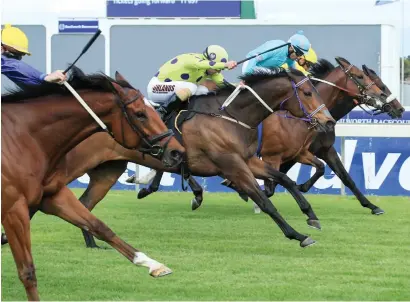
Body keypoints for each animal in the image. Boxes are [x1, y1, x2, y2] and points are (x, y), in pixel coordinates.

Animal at [0, 67, 185, 300]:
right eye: (140, 114)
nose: (177, 152)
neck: (24, 138)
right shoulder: (13, 208)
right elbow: (27, 271)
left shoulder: (52, 196)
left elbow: (100, 227)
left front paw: (153, 264)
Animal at [3, 68, 334, 250]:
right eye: (307, 92)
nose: (328, 121)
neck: (230, 115)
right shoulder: (232, 166)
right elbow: (264, 200)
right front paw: (298, 234)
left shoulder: (247, 161)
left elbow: (285, 179)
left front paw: (311, 215)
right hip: (65, 170)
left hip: (106, 171)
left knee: (85, 205)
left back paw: (93, 244)